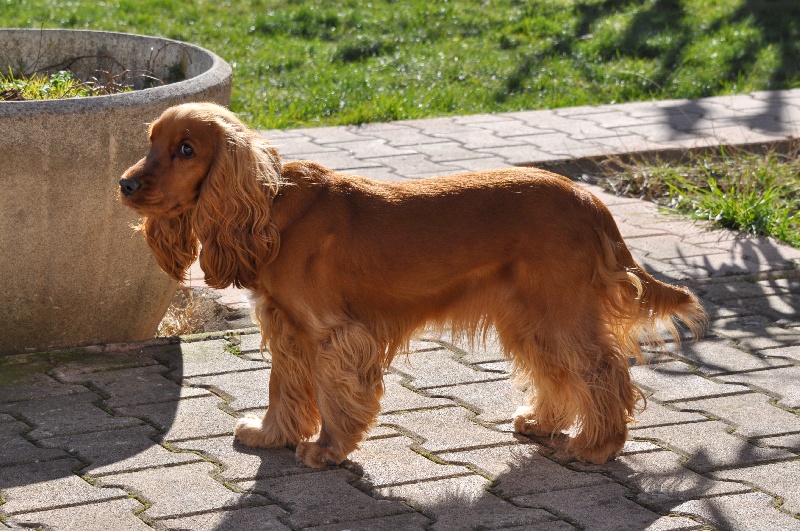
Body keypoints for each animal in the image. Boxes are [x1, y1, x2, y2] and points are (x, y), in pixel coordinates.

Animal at [119, 102, 705, 467]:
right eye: (150, 143)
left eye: (187, 150)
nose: (124, 183)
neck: (272, 210)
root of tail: (589, 200)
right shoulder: (287, 329)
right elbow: (282, 388)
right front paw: (271, 436)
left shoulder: (333, 334)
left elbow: (333, 396)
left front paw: (327, 449)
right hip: (530, 316)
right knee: (559, 372)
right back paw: (542, 422)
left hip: (561, 309)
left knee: (603, 372)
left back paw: (597, 446)